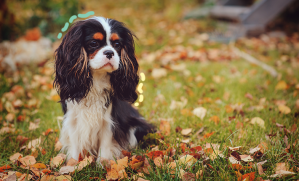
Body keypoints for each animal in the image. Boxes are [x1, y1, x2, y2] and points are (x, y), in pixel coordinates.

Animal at [54, 17, 156, 161]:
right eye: (94, 43)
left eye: (117, 44)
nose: (109, 52)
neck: (96, 79)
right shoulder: (73, 119)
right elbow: (74, 145)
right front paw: (72, 164)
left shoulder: (109, 121)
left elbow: (105, 145)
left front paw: (104, 164)